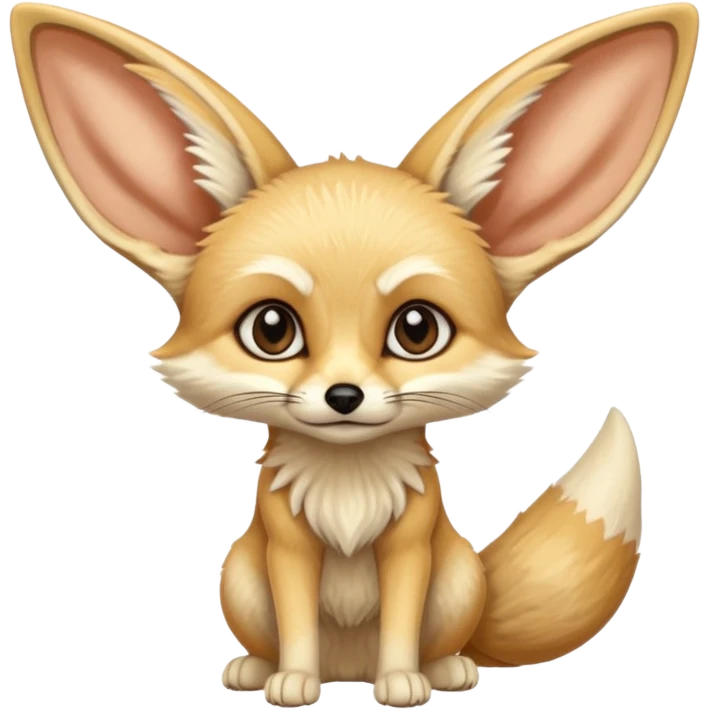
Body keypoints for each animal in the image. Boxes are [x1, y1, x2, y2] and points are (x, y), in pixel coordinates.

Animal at [10, 1, 698, 707]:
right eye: (272, 330)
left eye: (417, 330)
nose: (344, 396)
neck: (347, 483)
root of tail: (349, 669)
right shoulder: (286, 546)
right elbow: (296, 622)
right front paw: (293, 681)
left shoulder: (411, 545)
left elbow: (400, 620)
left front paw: (401, 682)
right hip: (241, 578)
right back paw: (258, 668)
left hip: (457, 581)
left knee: (440, 639)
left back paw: (442, 670)